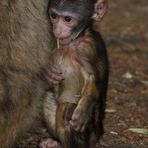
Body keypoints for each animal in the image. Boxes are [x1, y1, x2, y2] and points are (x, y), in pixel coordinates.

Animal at [39, 0, 108, 148]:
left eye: (67, 19)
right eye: (53, 16)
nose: (57, 30)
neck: (75, 41)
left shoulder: (88, 48)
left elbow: (92, 78)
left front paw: (85, 106)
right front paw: (48, 71)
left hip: (91, 134)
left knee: (66, 110)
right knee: (48, 97)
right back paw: (55, 142)